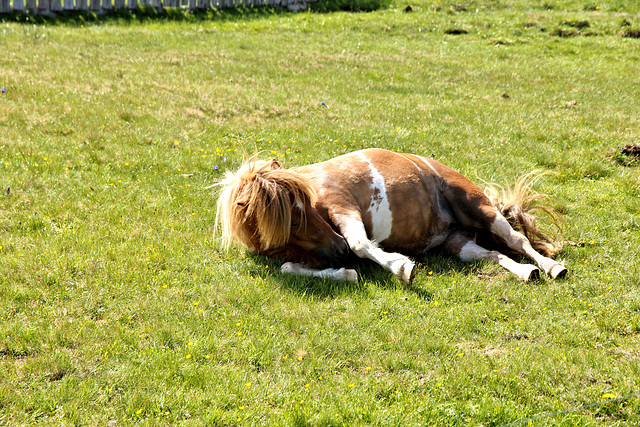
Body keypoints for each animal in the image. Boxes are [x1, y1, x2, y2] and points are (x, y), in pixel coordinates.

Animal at [215, 149, 564, 286]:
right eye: (291, 220)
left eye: (304, 206)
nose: (337, 250)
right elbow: (288, 268)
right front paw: (347, 274)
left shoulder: (343, 207)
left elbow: (360, 243)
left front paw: (402, 267)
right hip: (459, 244)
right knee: (492, 255)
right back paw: (526, 272)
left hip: (479, 208)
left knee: (516, 240)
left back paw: (552, 267)